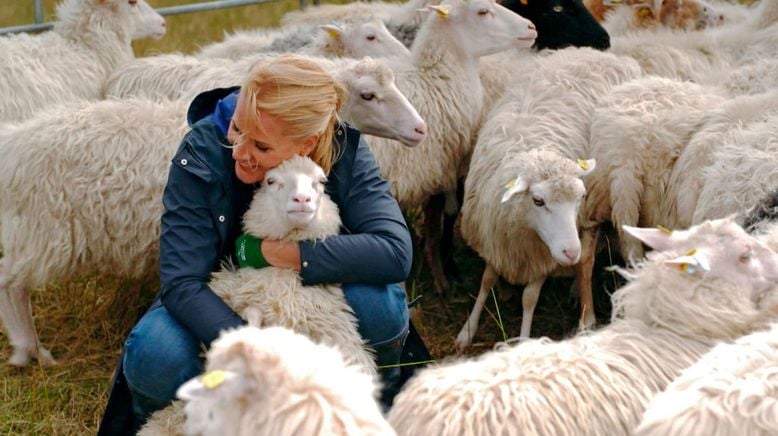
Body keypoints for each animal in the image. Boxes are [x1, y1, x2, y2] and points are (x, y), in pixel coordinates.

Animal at [452, 47, 640, 348]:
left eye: (580, 197)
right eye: (538, 201)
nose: (569, 251)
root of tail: (602, 54)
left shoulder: (543, 253)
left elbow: (530, 298)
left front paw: (523, 340)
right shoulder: (495, 236)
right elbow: (487, 280)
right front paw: (467, 330)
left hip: (594, 212)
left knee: (587, 261)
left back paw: (584, 310)